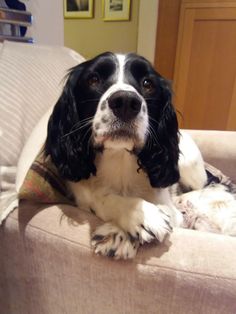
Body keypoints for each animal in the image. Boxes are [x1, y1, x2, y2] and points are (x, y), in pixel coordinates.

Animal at [44, 52, 208, 258]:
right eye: (93, 79)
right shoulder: (80, 193)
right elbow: (100, 198)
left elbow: (169, 211)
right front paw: (136, 217)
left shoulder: (171, 208)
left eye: (147, 83)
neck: (119, 157)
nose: (125, 102)